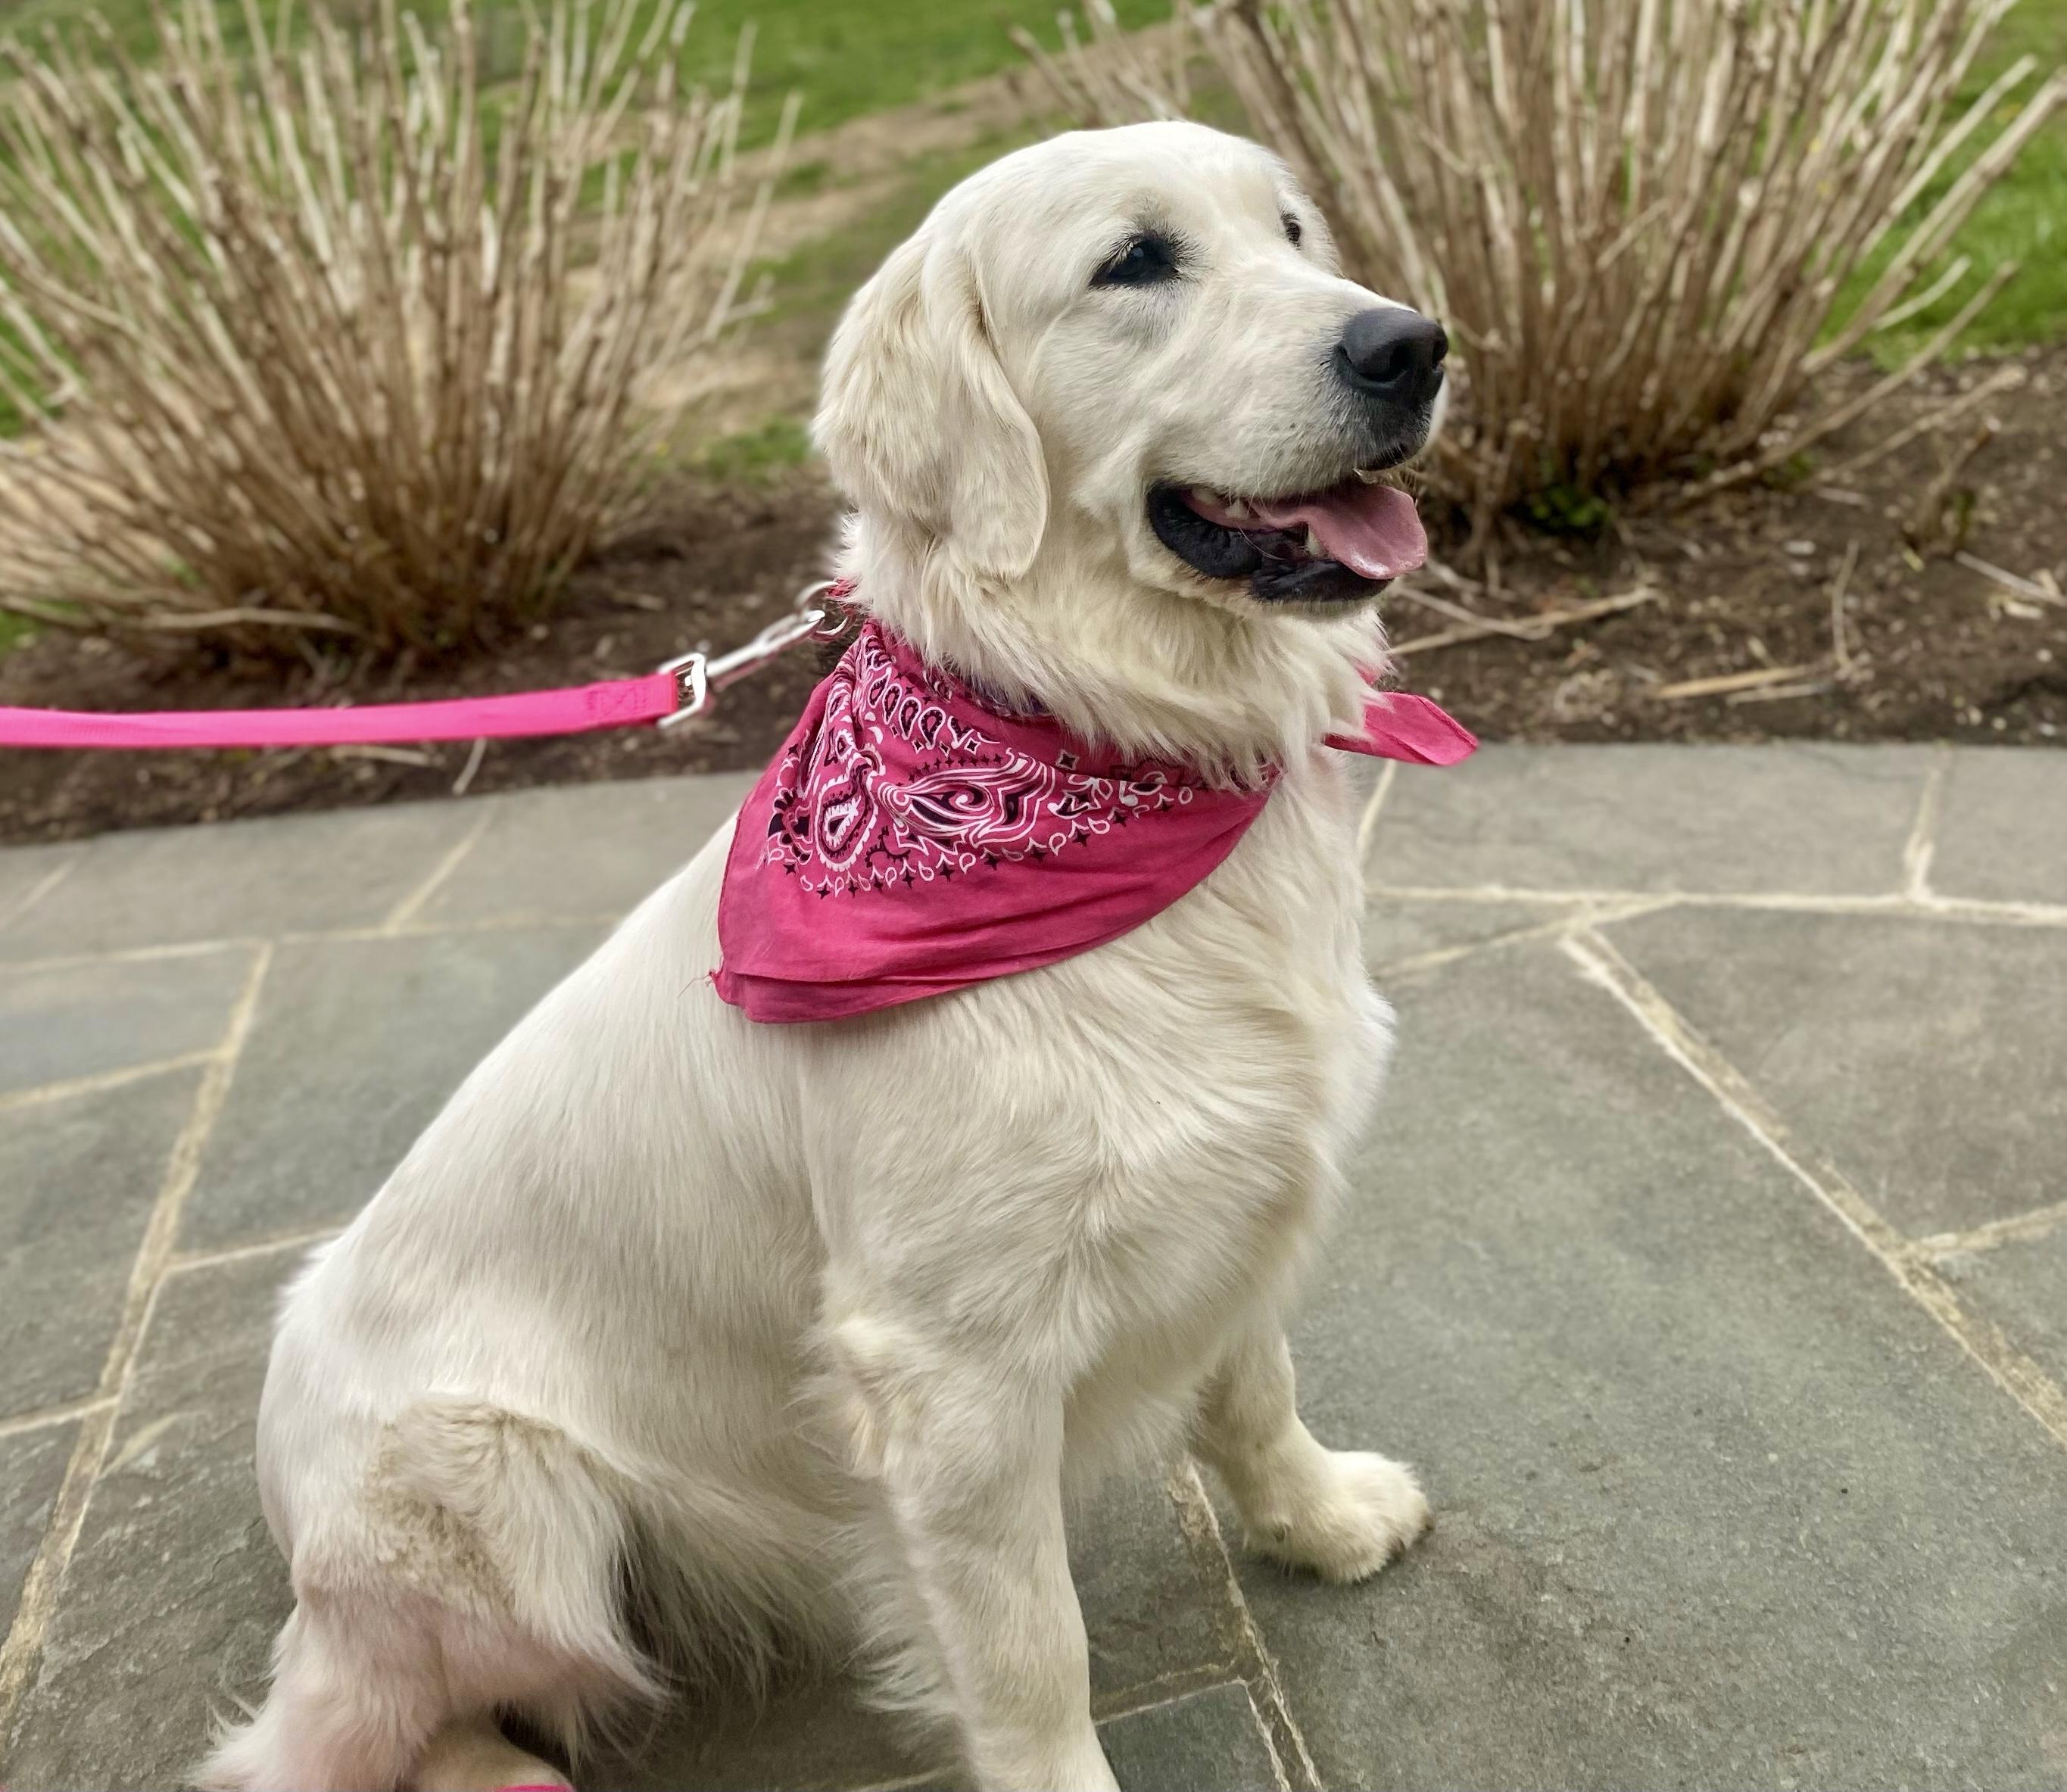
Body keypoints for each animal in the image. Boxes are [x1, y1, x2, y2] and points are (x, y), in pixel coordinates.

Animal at [203, 119, 1455, 1792]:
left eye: (1296, 228)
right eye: (1134, 262)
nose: (1413, 344)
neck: (1093, 738)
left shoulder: (1243, 1183)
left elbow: (1255, 1388)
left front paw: (1321, 1518)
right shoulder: (948, 1375)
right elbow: (1031, 1651)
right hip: (503, 1503)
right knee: (340, 1728)